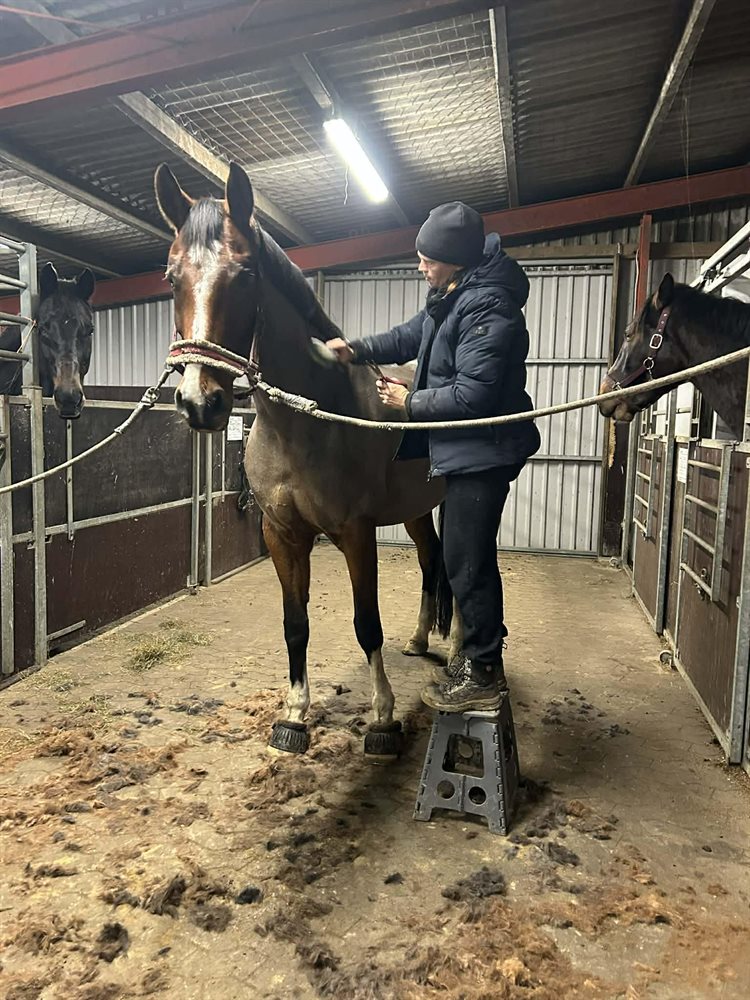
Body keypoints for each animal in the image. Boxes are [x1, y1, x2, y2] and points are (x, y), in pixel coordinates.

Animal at [155, 161, 455, 760]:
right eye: (172, 277)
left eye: (245, 276)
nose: (201, 402)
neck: (306, 422)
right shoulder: (282, 534)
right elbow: (295, 623)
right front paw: (294, 714)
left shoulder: (357, 532)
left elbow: (366, 624)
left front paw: (383, 719)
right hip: (415, 510)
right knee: (430, 559)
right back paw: (418, 640)